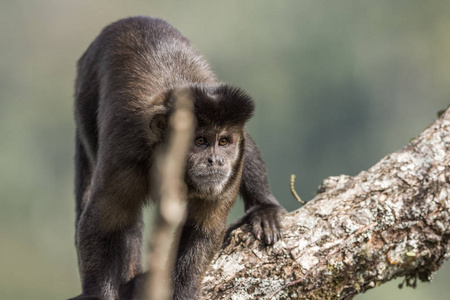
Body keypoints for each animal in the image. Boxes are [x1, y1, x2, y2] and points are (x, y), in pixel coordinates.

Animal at [72, 17, 284, 300]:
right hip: (85, 95)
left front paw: (183, 290)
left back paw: (264, 208)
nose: (216, 161)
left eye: (223, 142)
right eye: (200, 141)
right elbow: (101, 225)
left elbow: (203, 229)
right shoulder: (124, 160)